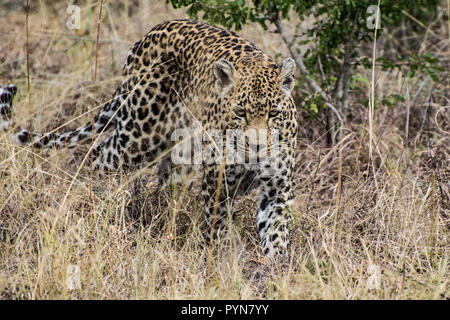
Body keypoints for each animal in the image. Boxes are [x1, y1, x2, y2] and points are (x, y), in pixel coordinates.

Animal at [4, 19, 298, 260]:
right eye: (240, 113)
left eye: (273, 114)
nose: (257, 146)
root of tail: (147, 35)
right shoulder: (218, 184)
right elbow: (219, 227)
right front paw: (221, 261)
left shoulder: (277, 188)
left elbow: (276, 232)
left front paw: (274, 268)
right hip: (138, 136)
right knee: (98, 155)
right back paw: (99, 204)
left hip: (178, 152)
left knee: (164, 182)